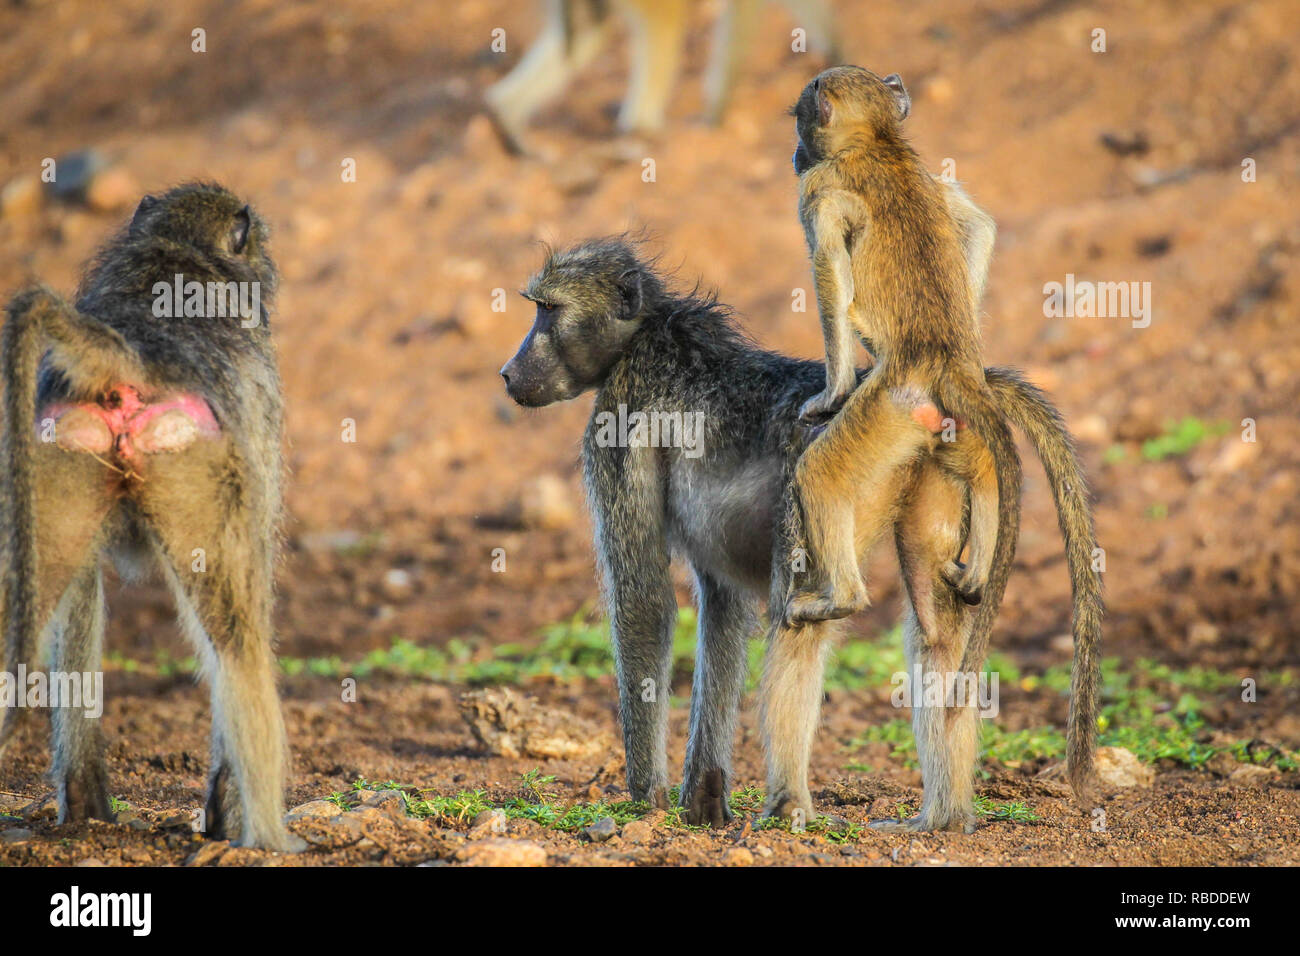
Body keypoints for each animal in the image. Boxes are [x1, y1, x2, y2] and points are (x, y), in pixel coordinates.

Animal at [0, 183, 305, 852]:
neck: (174, 251)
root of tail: (131, 362)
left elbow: (82, 594)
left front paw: (87, 802)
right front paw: (224, 812)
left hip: (50, 455)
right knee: (239, 642)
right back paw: (271, 839)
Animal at [499, 237, 1100, 830]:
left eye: (548, 310)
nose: (508, 372)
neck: (649, 333)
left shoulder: (617, 421)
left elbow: (642, 598)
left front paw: (646, 798)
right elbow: (722, 606)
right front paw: (703, 799)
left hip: (824, 475)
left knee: (799, 612)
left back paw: (789, 805)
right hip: (932, 470)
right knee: (937, 626)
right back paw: (942, 818)